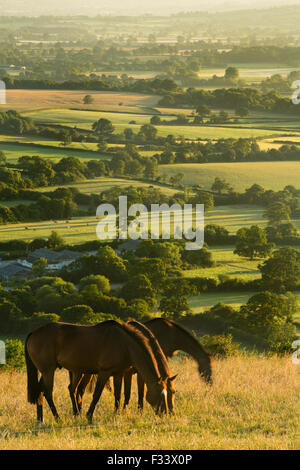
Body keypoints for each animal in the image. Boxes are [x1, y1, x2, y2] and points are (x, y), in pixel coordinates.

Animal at [25, 320, 169, 422]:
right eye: (161, 395)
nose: (166, 413)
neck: (124, 344)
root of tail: (33, 333)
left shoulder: (118, 373)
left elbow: (118, 394)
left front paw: (116, 414)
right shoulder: (104, 373)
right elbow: (97, 394)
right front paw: (89, 416)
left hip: (47, 372)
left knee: (42, 391)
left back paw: (41, 419)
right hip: (48, 371)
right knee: (48, 393)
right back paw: (57, 418)